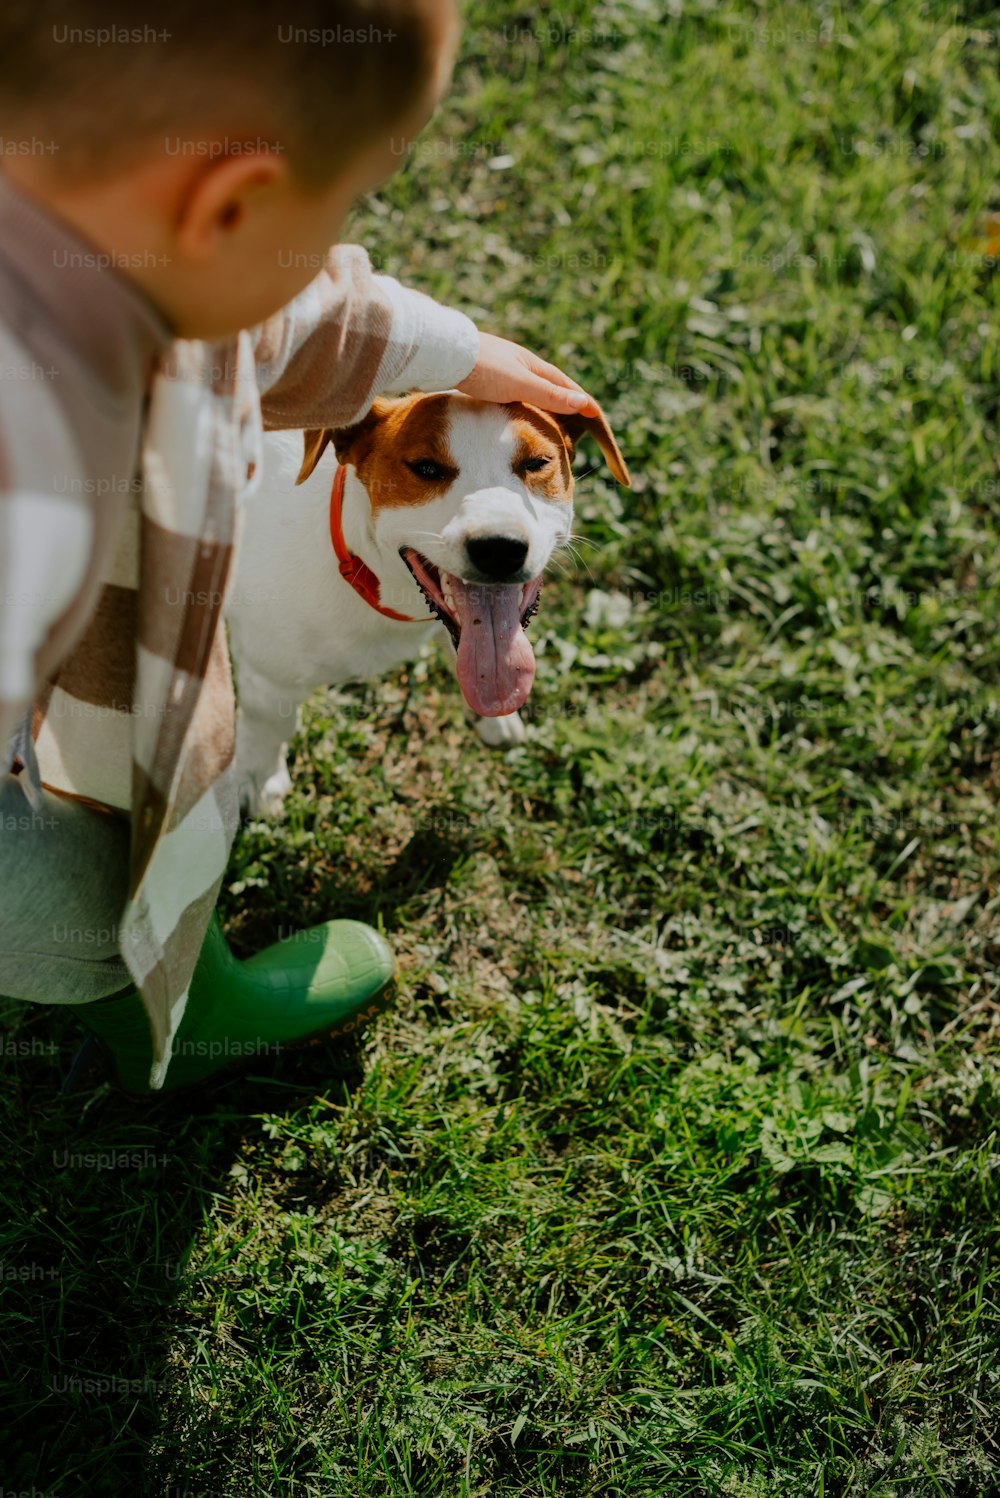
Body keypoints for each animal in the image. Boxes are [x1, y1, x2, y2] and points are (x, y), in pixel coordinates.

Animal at [229, 392, 628, 814]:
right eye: (426, 468)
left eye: (537, 463)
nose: (499, 549)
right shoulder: (266, 678)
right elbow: (269, 729)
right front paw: (261, 780)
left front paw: (494, 719)